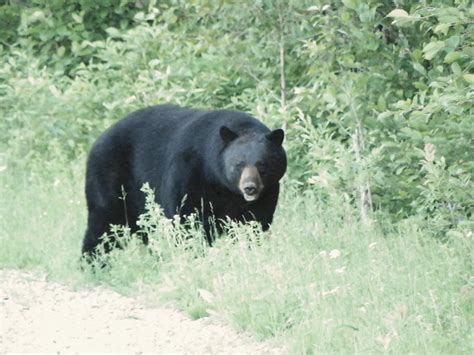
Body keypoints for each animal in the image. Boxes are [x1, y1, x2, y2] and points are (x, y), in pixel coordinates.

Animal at [82, 104, 286, 258]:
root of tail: (97, 140)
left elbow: (255, 223)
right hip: (109, 176)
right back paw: (93, 262)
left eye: (262, 164)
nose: (250, 188)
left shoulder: (267, 192)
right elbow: (186, 217)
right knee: (103, 223)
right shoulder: (188, 171)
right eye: (238, 164)